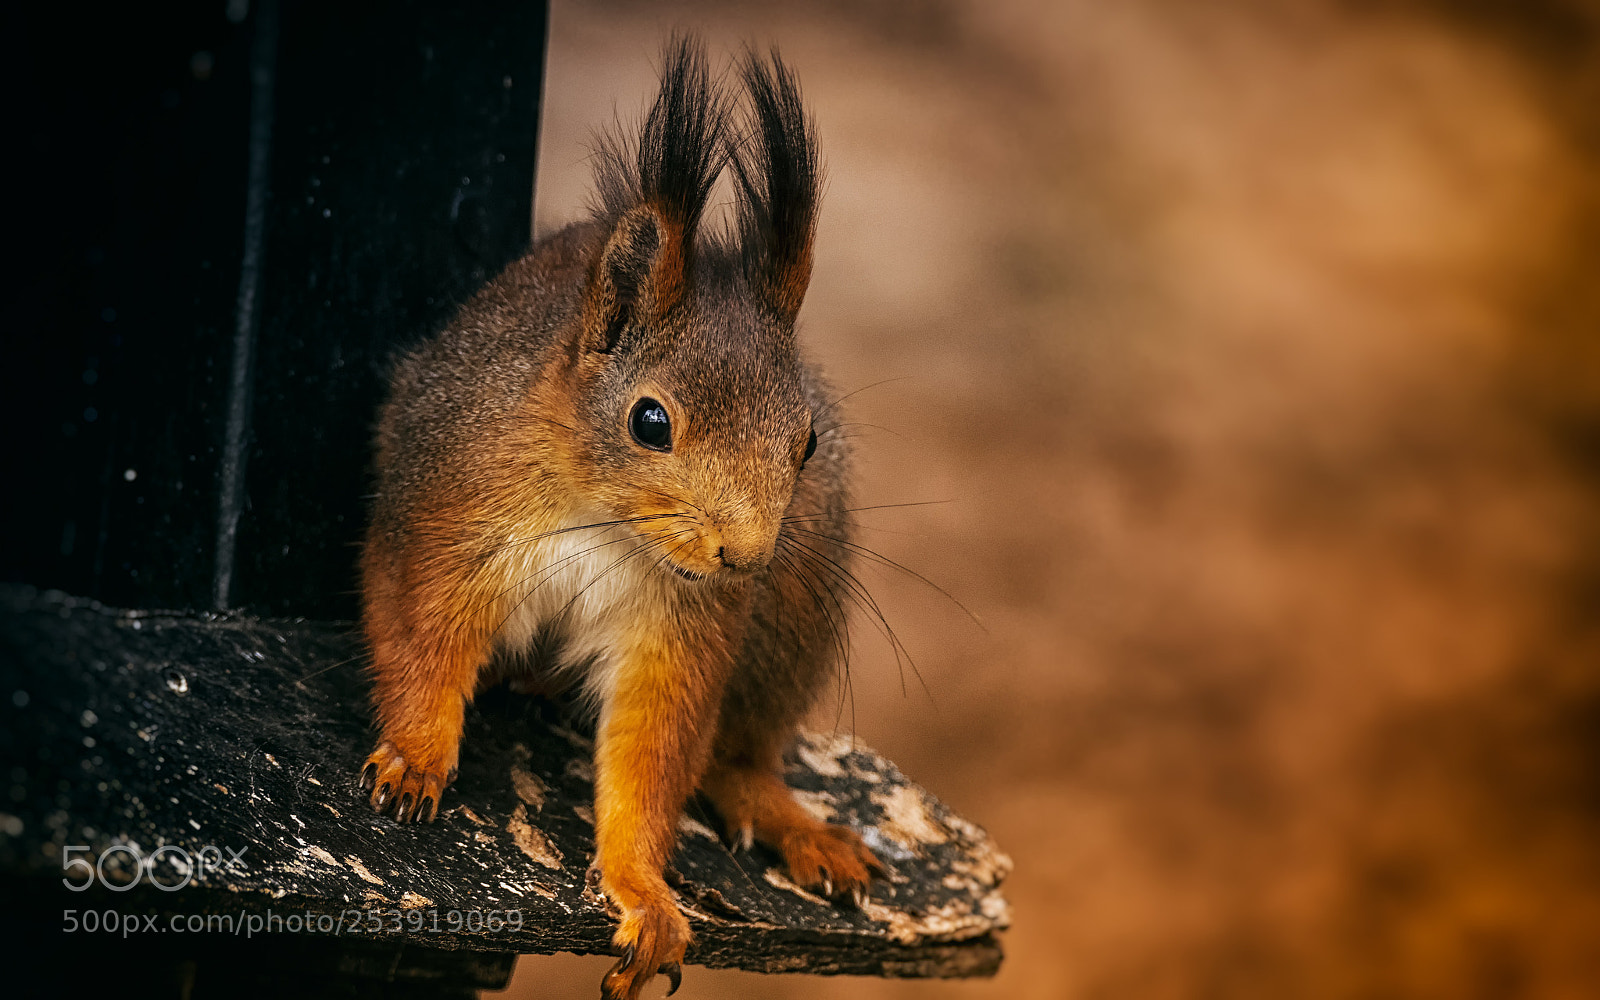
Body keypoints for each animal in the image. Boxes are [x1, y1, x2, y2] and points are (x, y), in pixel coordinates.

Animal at [355, 37, 881, 1000]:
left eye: (809, 439)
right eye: (650, 421)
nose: (744, 556)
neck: (607, 522)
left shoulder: (680, 626)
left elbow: (652, 752)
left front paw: (644, 895)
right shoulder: (450, 520)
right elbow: (423, 642)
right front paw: (414, 759)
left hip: (797, 599)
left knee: (738, 756)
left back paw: (790, 821)